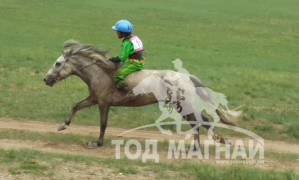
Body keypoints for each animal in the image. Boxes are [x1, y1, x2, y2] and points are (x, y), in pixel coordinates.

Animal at [43, 40, 238, 148]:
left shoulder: (103, 103)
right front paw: (63, 125)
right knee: (199, 122)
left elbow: (103, 124)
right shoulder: (94, 99)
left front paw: (97, 143)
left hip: (183, 105)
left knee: (200, 121)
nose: (46, 79)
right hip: (182, 106)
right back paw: (206, 144)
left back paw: (210, 143)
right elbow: (76, 106)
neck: (101, 72)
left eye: (58, 63)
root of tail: (186, 76)